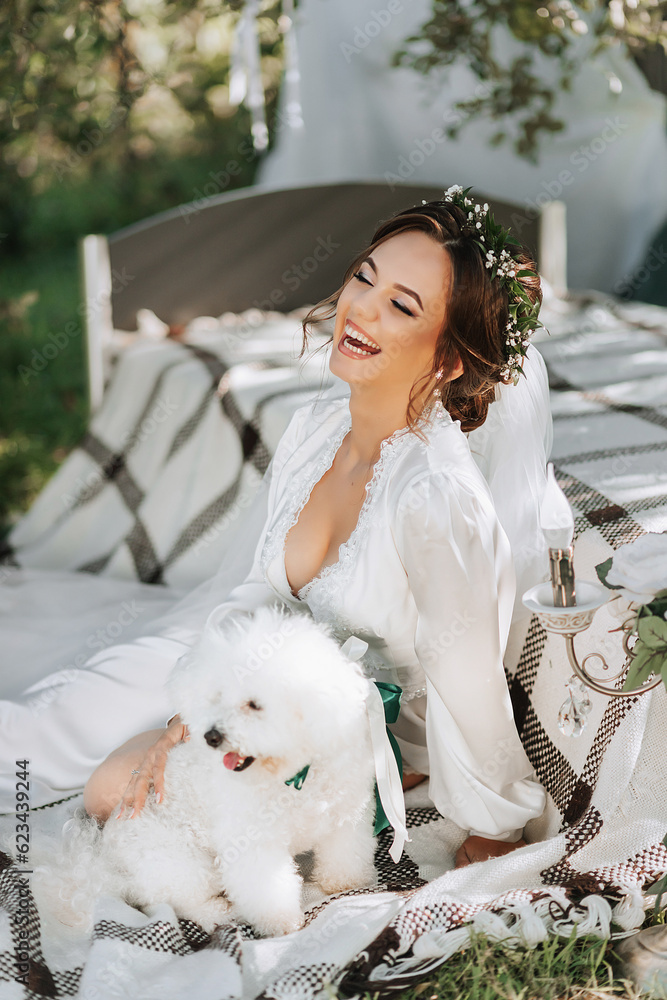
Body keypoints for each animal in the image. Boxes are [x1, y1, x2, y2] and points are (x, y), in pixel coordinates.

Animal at [41, 604, 378, 940]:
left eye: (254, 704)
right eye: (215, 698)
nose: (211, 736)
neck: (291, 773)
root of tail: (109, 864)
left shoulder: (346, 818)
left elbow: (345, 855)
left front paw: (345, 883)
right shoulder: (253, 845)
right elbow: (268, 891)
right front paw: (281, 923)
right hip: (183, 865)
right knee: (170, 903)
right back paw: (216, 912)